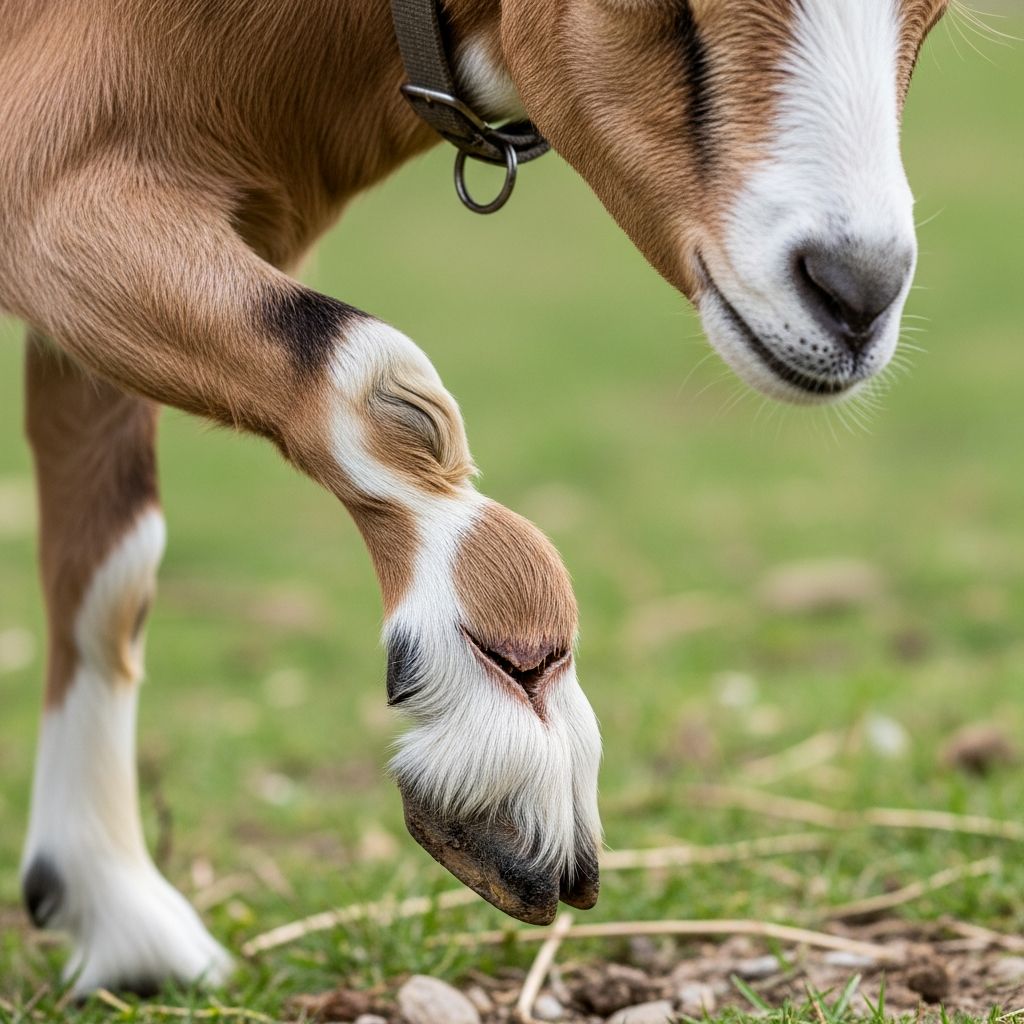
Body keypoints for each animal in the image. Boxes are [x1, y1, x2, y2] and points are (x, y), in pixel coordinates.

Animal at [1, 0, 948, 997]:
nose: (855, 296)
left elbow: (113, 562)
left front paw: (110, 907)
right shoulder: (55, 172)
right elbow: (379, 379)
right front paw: (508, 742)